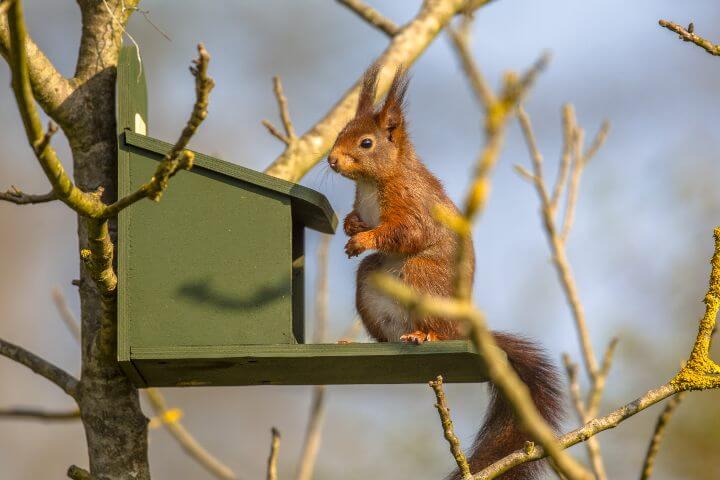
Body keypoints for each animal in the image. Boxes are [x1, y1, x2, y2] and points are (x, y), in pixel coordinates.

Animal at [326, 66, 564, 480]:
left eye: (366, 143)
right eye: (341, 133)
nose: (332, 160)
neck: (374, 182)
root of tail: (462, 330)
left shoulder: (413, 205)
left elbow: (406, 233)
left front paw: (364, 238)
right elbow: (362, 220)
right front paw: (352, 226)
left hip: (422, 277)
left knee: (428, 315)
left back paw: (424, 335)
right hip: (370, 283)